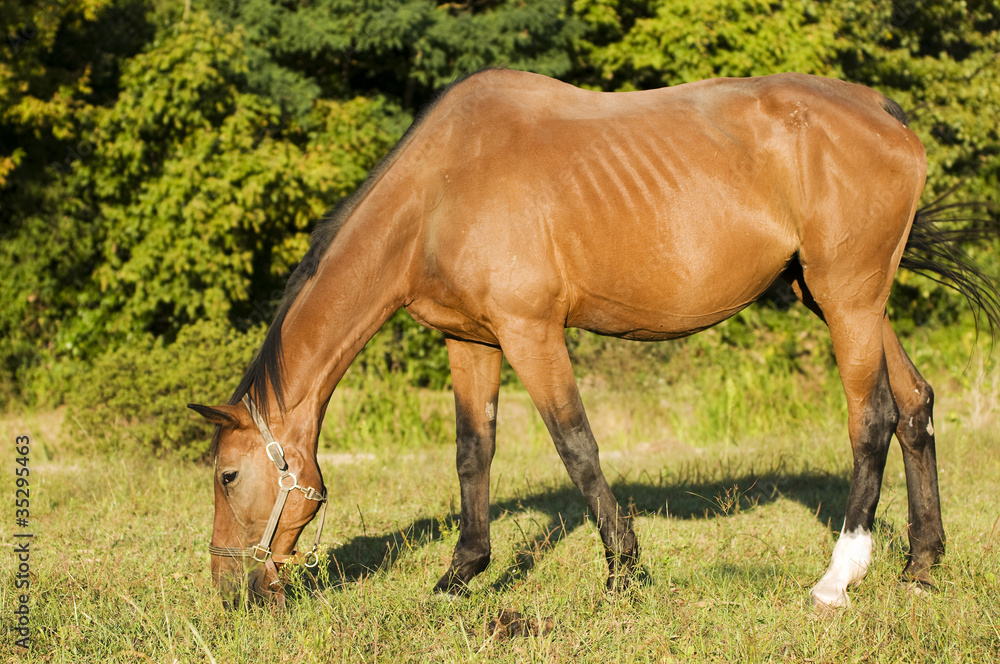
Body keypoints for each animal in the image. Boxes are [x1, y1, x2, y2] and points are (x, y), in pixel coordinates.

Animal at [189, 68, 999, 609]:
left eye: (227, 476)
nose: (230, 590)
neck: (439, 192)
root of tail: (881, 110)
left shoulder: (532, 333)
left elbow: (575, 445)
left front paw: (622, 571)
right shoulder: (472, 343)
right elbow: (472, 452)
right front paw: (459, 574)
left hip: (847, 299)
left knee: (873, 418)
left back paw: (838, 577)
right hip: (848, 300)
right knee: (916, 407)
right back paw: (921, 566)